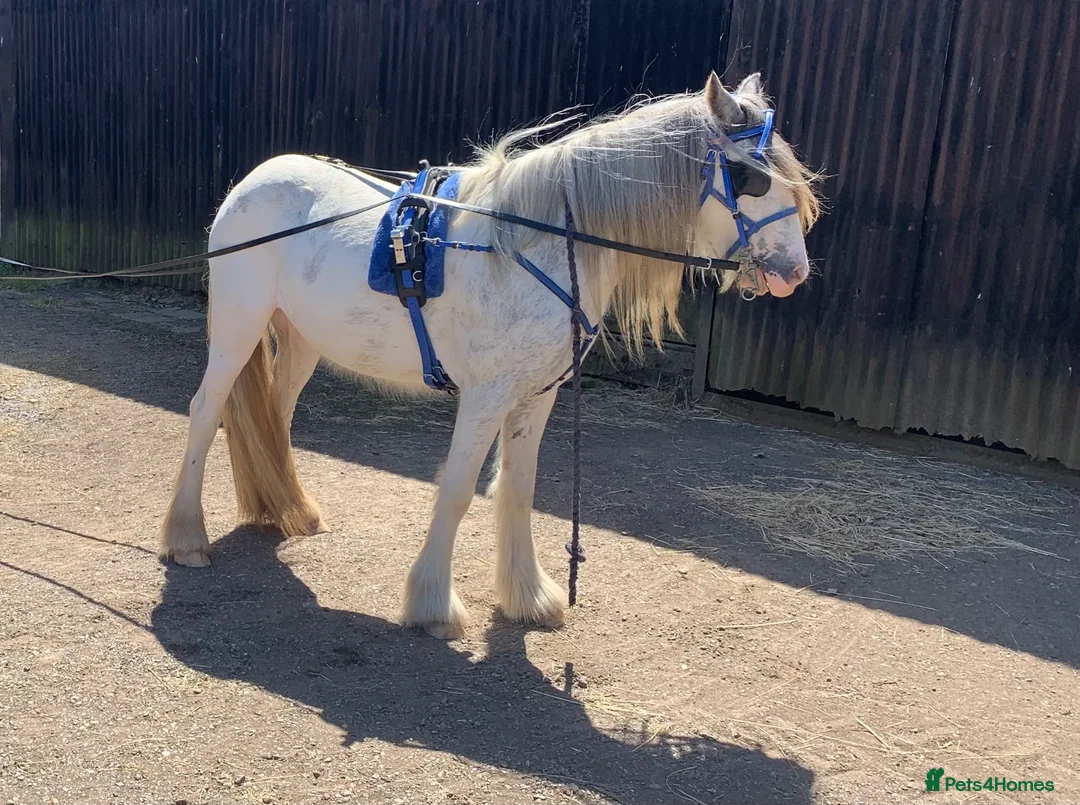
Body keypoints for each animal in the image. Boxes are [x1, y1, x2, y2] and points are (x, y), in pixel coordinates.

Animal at [159, 71, 822, 639]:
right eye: (749, 177)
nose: (794, 273)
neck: (530, 244)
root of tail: (253, 183)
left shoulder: (537, 396)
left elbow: (518, 489)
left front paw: (529, 598)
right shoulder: (485, 397)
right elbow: (456, 489)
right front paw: (432, 605)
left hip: (300, 342)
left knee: (275, 415)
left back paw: (286, 510)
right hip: (238, 330)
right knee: (205, 412)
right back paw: (186, 538)